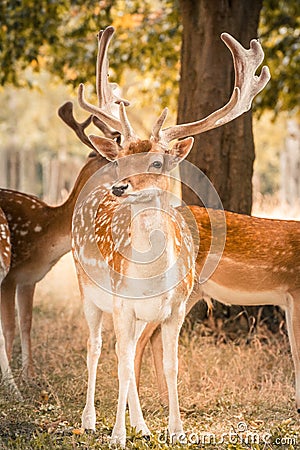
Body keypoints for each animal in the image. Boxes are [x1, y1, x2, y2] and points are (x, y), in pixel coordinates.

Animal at [69, 28, 270, 446]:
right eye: (121, 160)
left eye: (158, 162)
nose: (119, 187)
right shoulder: (121, 304)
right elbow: (121, 363)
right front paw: (117, 436)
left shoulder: (176, 307)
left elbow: (170, 364)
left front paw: (175, 431)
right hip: (86, 285)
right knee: (97, 348)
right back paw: (90, 420)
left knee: (129, 354)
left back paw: (143, 426)